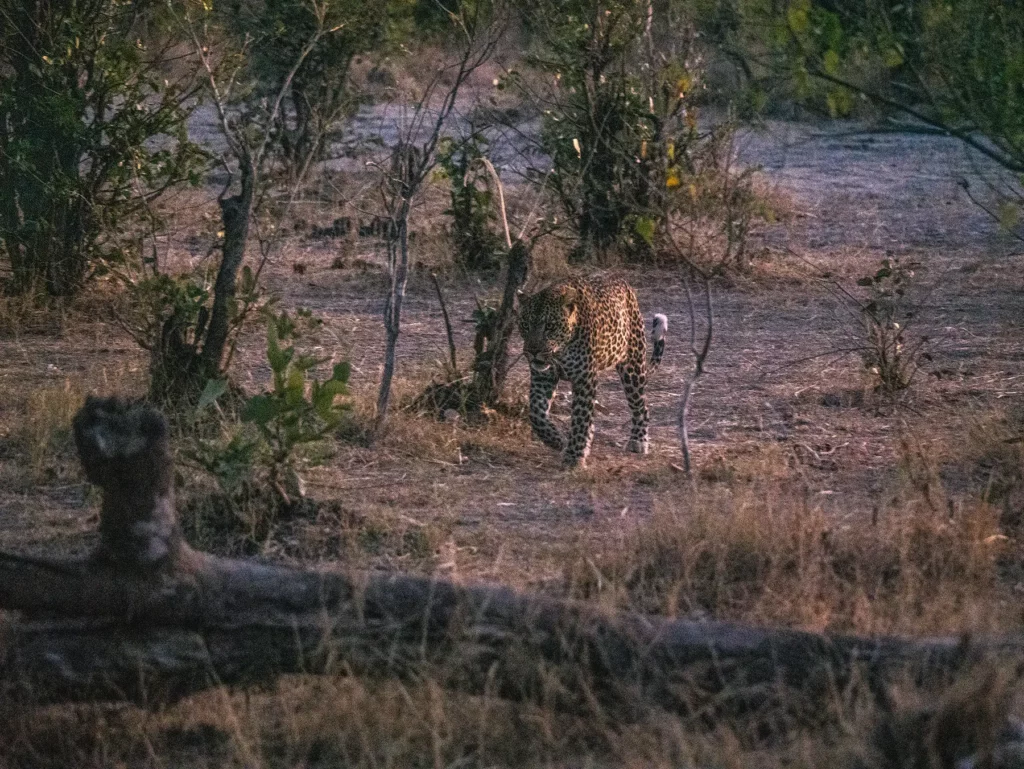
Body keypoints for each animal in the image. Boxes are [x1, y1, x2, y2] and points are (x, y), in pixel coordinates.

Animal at [518, 275, 667, 468]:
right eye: (525, 325)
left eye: (549, 326)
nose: (533, 351)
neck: (560, 350)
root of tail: (625, 284)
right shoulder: (543, 376)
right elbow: (536, 413)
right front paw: (555, 439)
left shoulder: (584, 377)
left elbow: (581, 417)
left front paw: (574, 457)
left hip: (633, 367)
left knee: (641, 406)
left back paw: (638, 441)